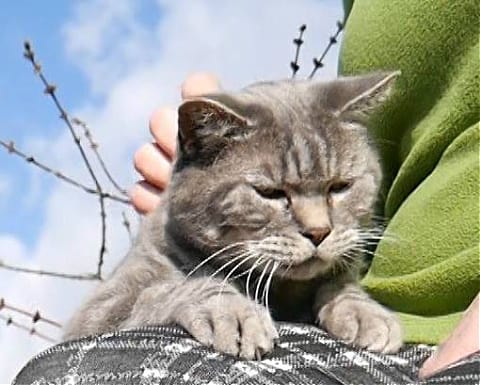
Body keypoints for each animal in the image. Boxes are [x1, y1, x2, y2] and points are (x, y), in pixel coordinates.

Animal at [62, 71, 402, 356]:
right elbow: (173, 288)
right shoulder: (102, 308)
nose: (319, 232)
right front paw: (234, 313)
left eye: (340, 186)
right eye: (270, 192)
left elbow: (338, 284)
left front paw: (365, 312)